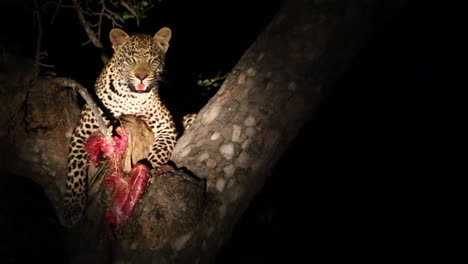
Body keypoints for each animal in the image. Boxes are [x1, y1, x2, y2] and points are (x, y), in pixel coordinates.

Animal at [62, 26, 179, 227]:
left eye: (151, 60)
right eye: (131, 59)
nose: (142, 76)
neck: (131, 97)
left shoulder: (166, 128)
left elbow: (156, 155)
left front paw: (145, 176)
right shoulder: (82, 133)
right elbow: (75, 169)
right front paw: (72, 207)